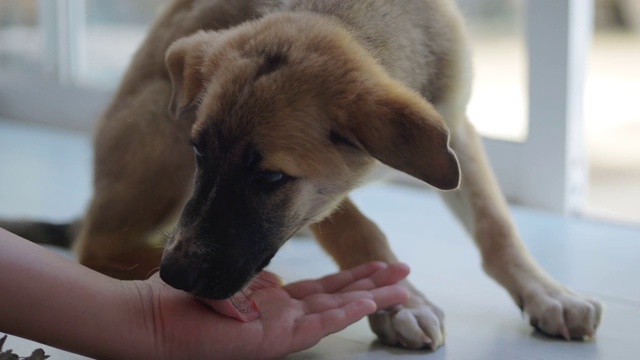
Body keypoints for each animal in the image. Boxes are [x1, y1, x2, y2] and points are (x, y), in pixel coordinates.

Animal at [63, 0, 600, 352]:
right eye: (200, 151)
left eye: (271, 178)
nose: (174, 276)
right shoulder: (326, 192)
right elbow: (358, 227)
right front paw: (402, 302)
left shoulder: (456, 129)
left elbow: (496, 225)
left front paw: (547, 292)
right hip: (161, 125)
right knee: (92, 246)